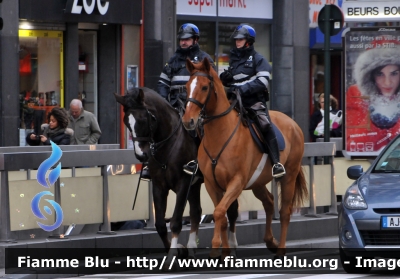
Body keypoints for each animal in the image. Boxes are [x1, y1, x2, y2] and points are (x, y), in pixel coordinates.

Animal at [115, 88, 203, 262]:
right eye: (126, 122)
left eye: (143, 120)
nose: (141, 156)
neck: (170, 144)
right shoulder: (159, 186)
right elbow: (161, 225)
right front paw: (177, 250)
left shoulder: (183, 183)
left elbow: (175, 221)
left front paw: (172, 255)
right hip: (195, 185)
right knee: (196, 211)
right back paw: (191, 248)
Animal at [183, 58, 308, 260]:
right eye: (187, 86)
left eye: (204, 87)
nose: (188, 120)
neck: (221, 134)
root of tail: (293, 123)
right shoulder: (212, 184)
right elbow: (222, 216)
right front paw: (225, 252)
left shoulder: (237, 182)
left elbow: (219, 212)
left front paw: (215, 248)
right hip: (257, 182)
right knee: (269, 202)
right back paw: (270, 241)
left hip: (289, 175)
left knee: (284, 211)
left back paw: (280, 250)